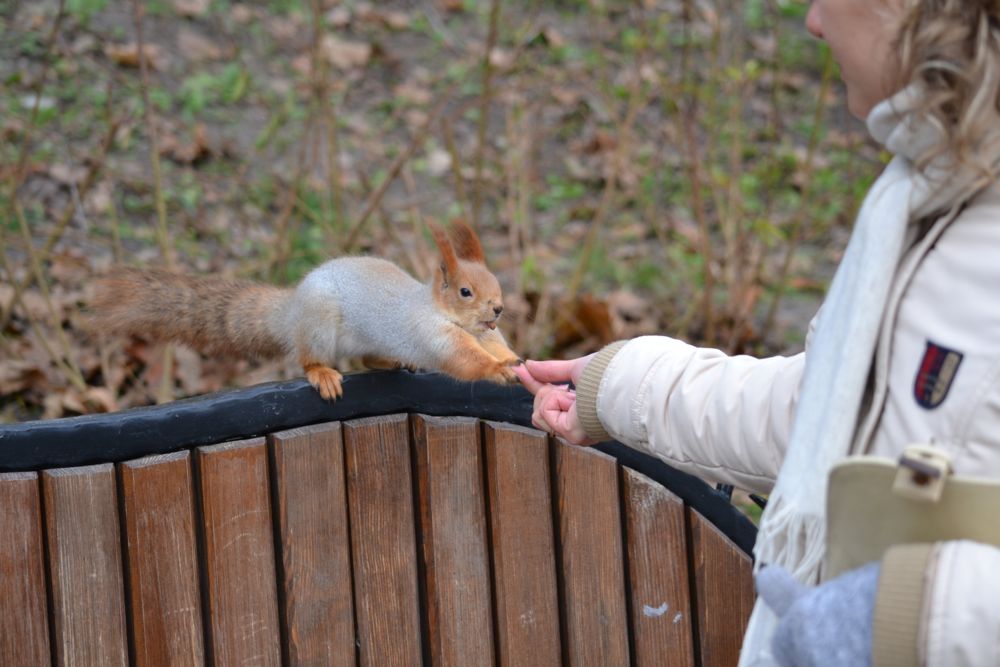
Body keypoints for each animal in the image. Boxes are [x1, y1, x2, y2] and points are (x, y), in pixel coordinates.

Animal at [91, 222, 524, 400]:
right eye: (466, 292)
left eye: (496, 284)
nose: (499, 309)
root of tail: (294, 308)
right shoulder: (431, 332)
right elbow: (463, 359)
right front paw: (497, 370)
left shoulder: (486, 333)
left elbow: (496, 347)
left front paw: (515, 360)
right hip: (318, 325)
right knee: (311, 358)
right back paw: (323, 374)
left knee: (368, 358)